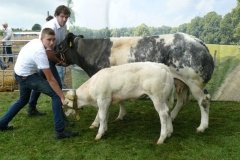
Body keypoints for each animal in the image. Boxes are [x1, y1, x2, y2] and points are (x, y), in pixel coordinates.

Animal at [57, 32, 214, 132]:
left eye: (60, 46)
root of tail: (197, 40)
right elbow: (120, 100)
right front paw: (121, 115)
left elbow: (101, 109)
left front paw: (95, 124)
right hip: (180, 82)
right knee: (181, 100)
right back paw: (173, 117)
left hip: (194, 82)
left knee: (204, 101)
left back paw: (202, 127)